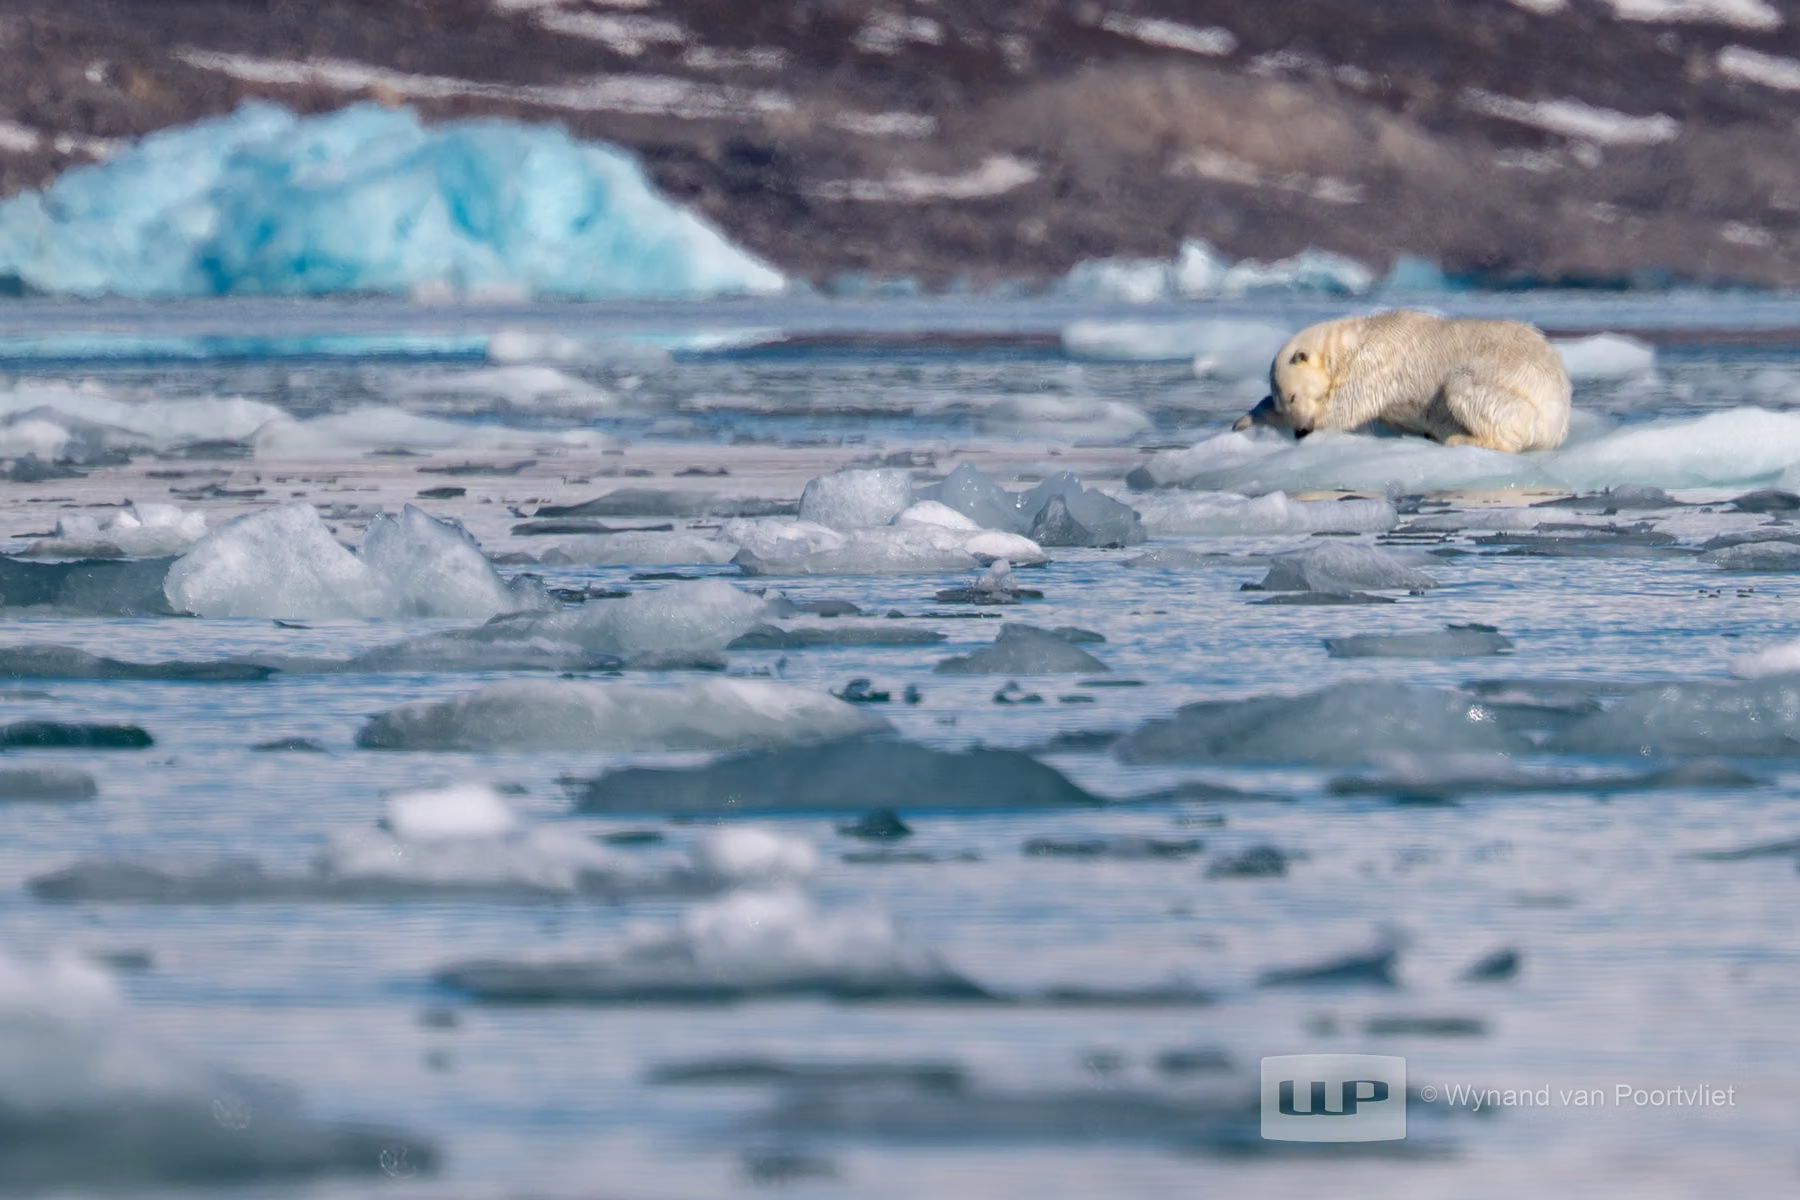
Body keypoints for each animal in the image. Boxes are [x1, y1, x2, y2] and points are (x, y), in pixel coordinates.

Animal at [1232, 309, 1571, 453]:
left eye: (1293, 397)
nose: (1302, 431)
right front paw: (1244, 420)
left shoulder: (1376, 362)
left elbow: (1347, 406)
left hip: (1515, 397)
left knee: (1465, 387)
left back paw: (1460, 438)